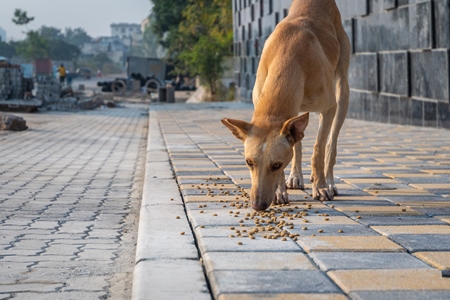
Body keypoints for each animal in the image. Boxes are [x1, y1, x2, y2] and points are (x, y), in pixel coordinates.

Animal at [222, 0, 352, 211]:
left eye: (276, 164)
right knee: (297, 142)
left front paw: (320, 187)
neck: (288, 55)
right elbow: (295, 145)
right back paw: (296, 177)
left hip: (342, 86)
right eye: (249, 162)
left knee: (331, 142)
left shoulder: (328, 107)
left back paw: (330, 182)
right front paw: (279, 191)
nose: (257, 205)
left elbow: (319, 148)